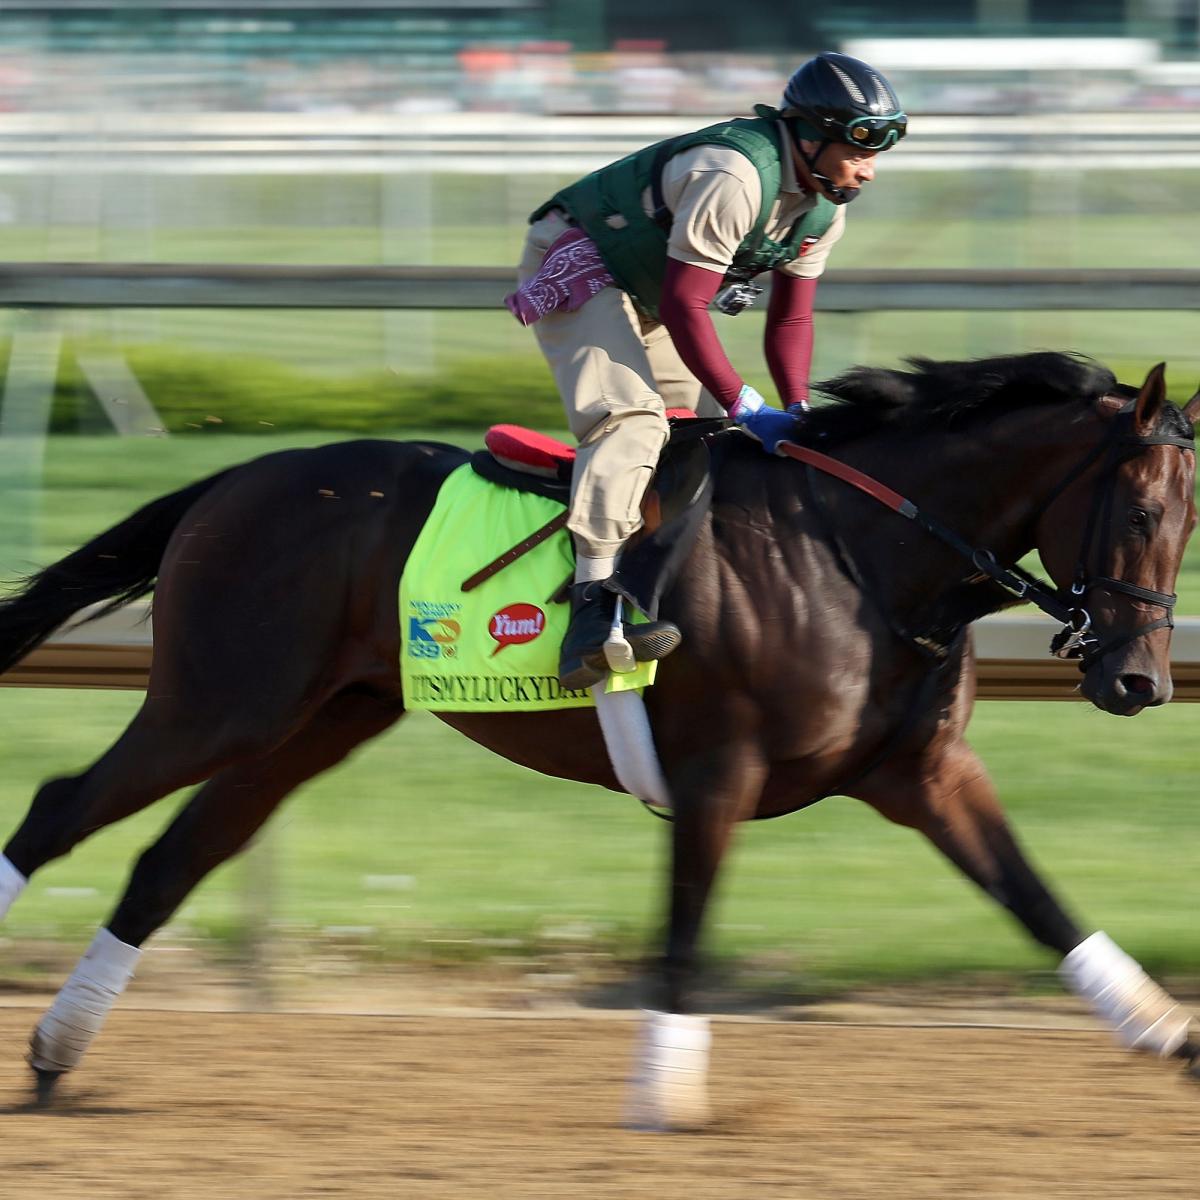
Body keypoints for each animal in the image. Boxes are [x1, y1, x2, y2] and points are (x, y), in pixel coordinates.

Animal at [2, 350, 1200, 1123]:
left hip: (312, 723)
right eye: (1144, 512)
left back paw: (60, 1056)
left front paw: (1169, 1034)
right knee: (62, 809)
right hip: (217, 703)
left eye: (1190, 523)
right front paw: (665, 1092)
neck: (857, 552)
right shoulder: (719, 770)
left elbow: (1038, 902)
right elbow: (683, 927)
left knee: (170, 861)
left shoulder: (923, 773)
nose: (1140, 679)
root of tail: (235, 479)